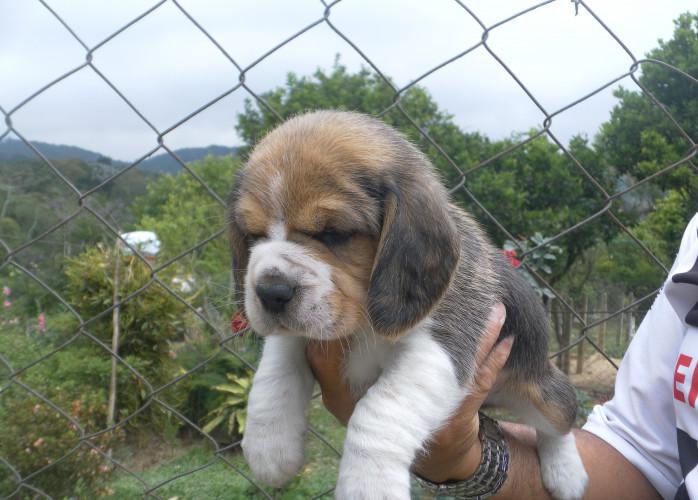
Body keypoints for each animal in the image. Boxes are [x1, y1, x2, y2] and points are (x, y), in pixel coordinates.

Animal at [228, 111, 588, 498]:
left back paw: (566, 473)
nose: (270, 292)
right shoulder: (300, 333)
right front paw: (269, 446)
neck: (363, 323)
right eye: (253, 235)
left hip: (542, 390)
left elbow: (379, 410)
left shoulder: (440, 349)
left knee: (560, 422)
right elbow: (276, 369)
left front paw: (368, 484)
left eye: (333, 233)